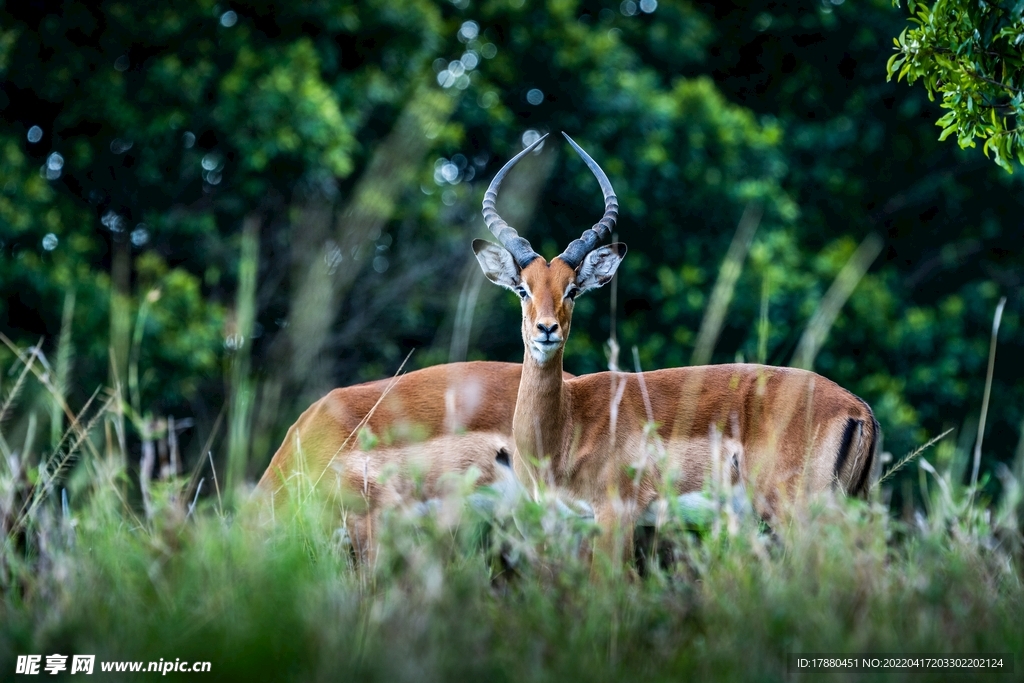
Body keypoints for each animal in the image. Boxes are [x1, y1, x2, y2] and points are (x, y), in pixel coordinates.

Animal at [473, 131, 880, 565]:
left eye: (572, 290)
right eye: (523, 288)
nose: (547, 330)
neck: (567, 425)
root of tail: (859, 409)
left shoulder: (616, 514)